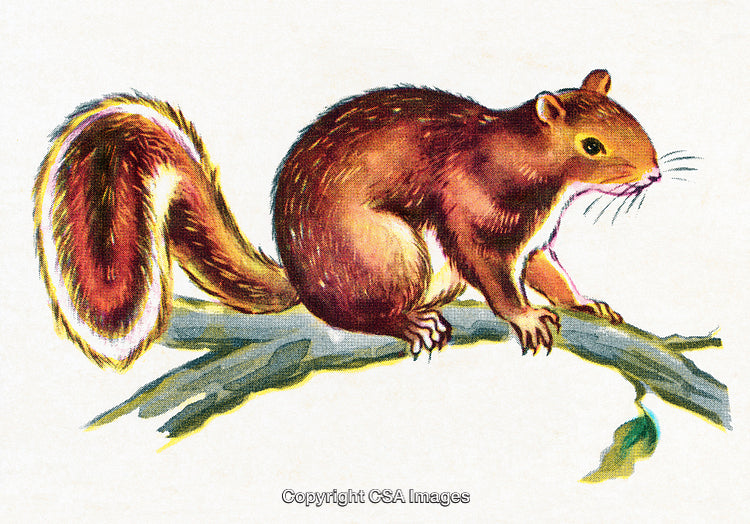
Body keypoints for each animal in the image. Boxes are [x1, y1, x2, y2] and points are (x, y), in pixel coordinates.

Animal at [33, 69, 660, 370]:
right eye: (591, 144)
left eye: (629, 116)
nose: (654, 173)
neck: (523, 160)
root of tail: (300, 277)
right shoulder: (476, 216)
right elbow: (494, 276)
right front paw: (526, 317)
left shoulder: (533, 243)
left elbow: (549, 274)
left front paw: (585, 304)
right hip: (384, 254)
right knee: (355, 314)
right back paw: (407, 322)